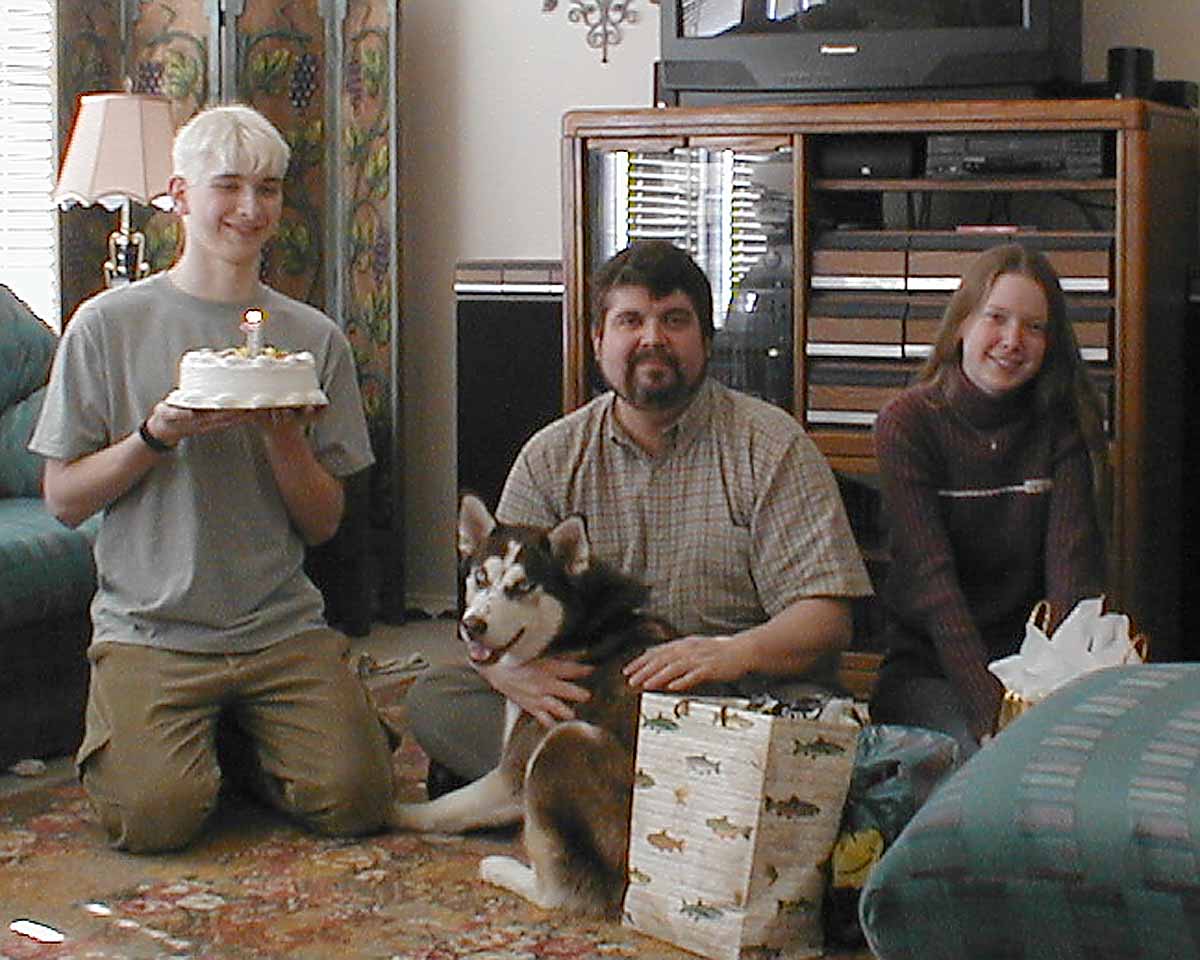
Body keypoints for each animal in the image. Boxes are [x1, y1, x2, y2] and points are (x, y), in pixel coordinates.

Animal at [393, 494, 676, 916]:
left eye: (522, 586)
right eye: (481, 578)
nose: (471, 625)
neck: (578, 629)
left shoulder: (513, 775)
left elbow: (442, 809)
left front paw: (388, 811)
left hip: (565, 743)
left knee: (562, 892)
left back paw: (500, 868)